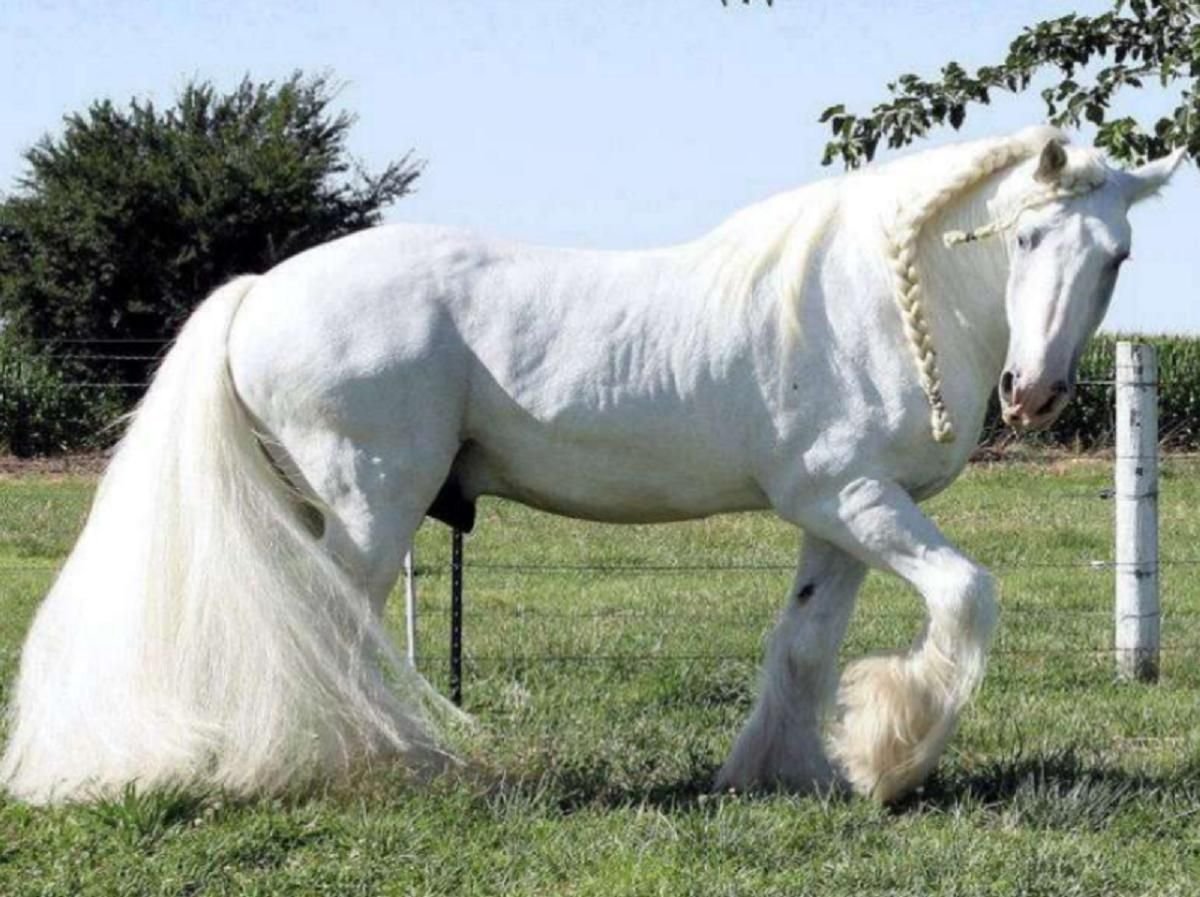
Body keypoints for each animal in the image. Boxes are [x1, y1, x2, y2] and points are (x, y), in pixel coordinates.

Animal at [0, 126, 1186, 805]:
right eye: (1027, 239)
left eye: (1117, 255)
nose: (1036, 393)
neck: (868, 303)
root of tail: (259, 293)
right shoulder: (853, 497)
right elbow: (967, 596)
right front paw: (894, 762)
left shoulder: (840, 516)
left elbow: (803, 644)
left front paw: (787, 772)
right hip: (369, 505)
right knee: (323, 628)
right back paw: (362, 767)